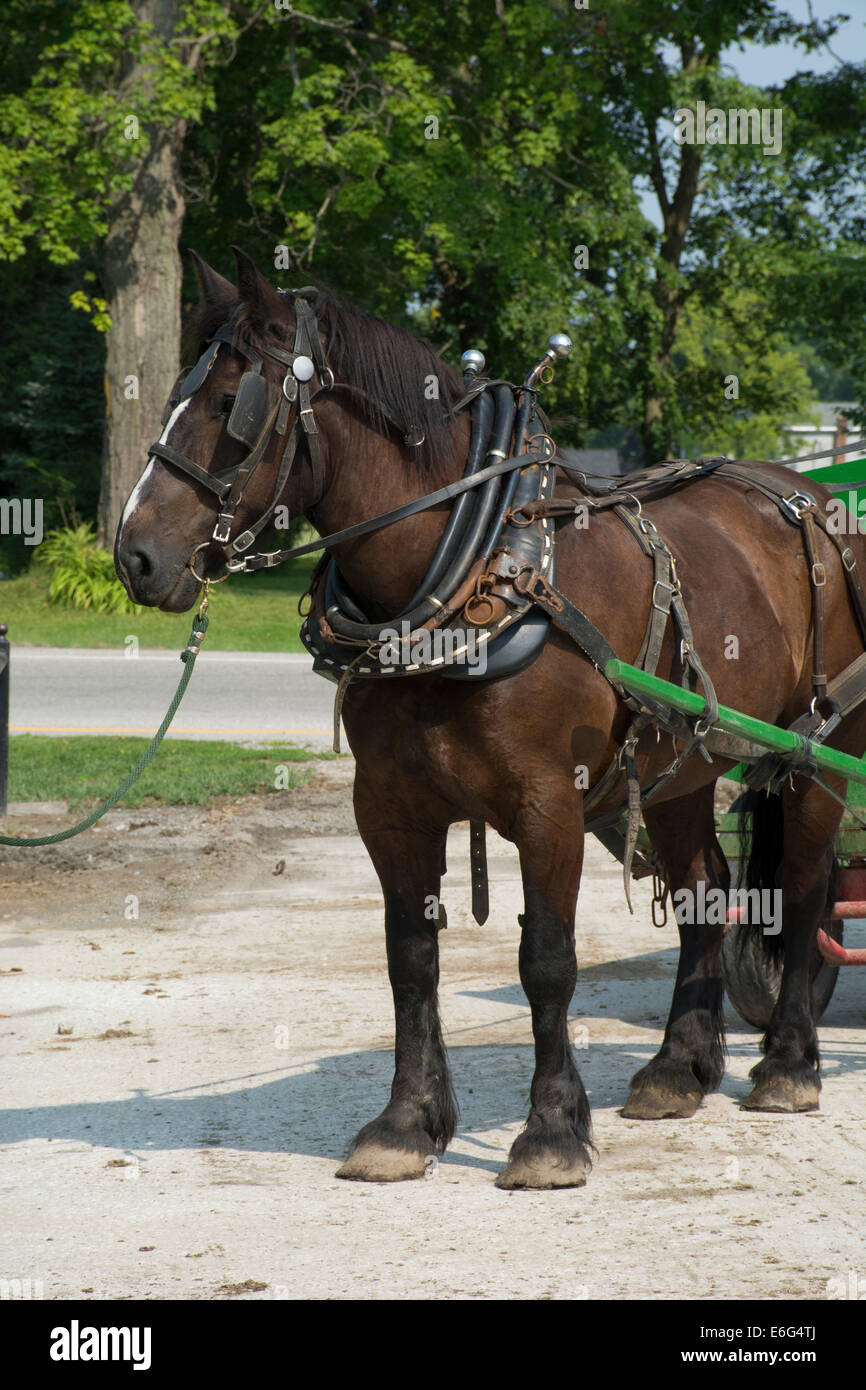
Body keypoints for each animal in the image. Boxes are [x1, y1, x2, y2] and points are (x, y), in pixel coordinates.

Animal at [114, 246, 866, 1189]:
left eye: (230, 408)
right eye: (178, 394)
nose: (134, 554)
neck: (477, 574)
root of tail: (808, 495)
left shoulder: (549, 802)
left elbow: (546, 961)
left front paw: (549, 1133)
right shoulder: (388, 806)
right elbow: (410, 958)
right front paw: (406, 1123)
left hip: (819, 752)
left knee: (801, 891)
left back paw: (790, 1065)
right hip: (679, 760)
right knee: (704, 890)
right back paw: (674, 1069)